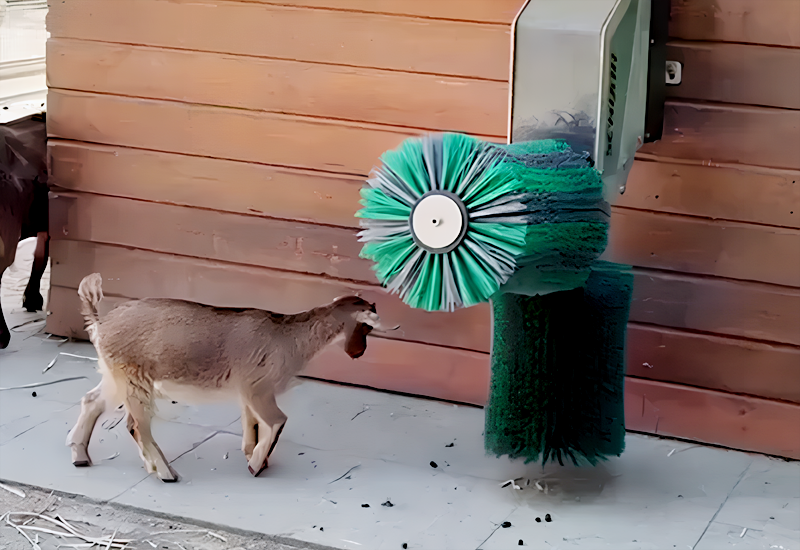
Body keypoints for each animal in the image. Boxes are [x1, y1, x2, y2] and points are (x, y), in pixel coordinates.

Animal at [67, 273, 394, 482]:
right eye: (367, 327)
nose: (358, 353)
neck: (289, 338)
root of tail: (100, 323)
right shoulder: (259, 388)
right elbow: (276, 421)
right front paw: (256, 465)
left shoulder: (247, 391)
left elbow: (252, 421)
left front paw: (253, 453)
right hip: (134, 380)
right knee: (137, 425)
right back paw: (166, 473)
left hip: (116, 376)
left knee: (92, 402)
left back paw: (81, 456)